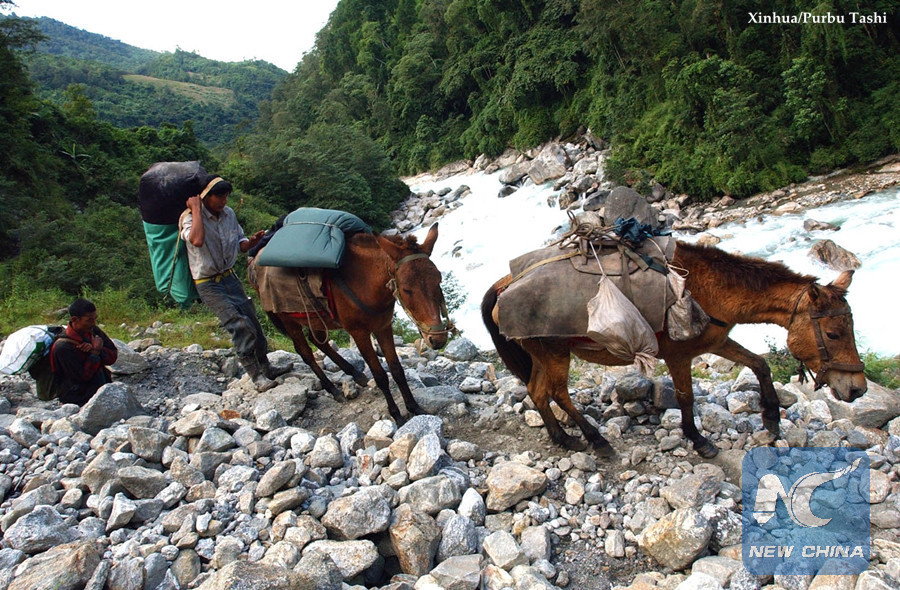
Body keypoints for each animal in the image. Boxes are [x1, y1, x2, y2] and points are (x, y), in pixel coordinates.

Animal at [251, 224, 450, 424]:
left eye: (438, 280)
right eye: (406, 289)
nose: (438, 339)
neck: (364, 281)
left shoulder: (383, 327)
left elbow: (397, 370)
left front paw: (414, 407)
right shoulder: (359, 333)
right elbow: (380, 375)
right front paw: (397, 416)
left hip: (315, 317)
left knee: (317, 341)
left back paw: (355, 373)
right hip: (288, 319)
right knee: (305, 352)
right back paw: (334, 390)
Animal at [482, 243, 868, 460]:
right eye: (833, 333)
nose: (857, 389)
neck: (708, 288)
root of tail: (504, 285)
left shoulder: (716, 341)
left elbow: (759, 364)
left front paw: (772, 418)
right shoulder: (680, 355)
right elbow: (685, 396)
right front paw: (698, 440)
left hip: (540, 354)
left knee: (538, 391)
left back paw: (562, 438)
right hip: (554, 352)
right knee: (557, 392)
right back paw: (596, 440)